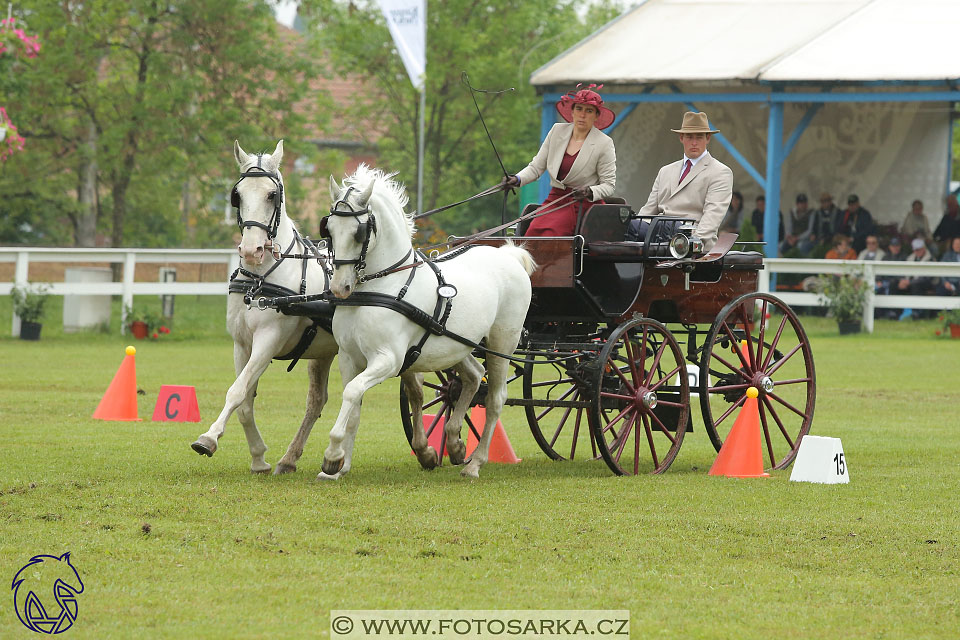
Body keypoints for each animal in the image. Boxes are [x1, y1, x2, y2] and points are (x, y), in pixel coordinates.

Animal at [191, 141, 338, 476]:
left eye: (272, 195)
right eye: (237, 195)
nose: (251, 250)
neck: (260, 279)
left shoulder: (267, 341)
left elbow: (236, 391)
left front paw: (208, 438)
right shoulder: (242, 344)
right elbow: (244, 401)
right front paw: (259, 458)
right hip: (323, 352)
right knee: (317, 401)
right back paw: (289, 458)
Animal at [320, 165, 532, 480]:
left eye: (360, 232)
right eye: (330, 229)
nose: (339, 287)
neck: (383, 287)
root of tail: (508, 255)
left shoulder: (388, 360)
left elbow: (353, 392)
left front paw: (332, 455)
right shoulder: (349, 358)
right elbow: (354, 405)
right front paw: (340, 465)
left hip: (502, 342)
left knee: (495, 399)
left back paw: (476, 463)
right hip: (457, 344)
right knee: (473, 376)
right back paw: (455, 442)